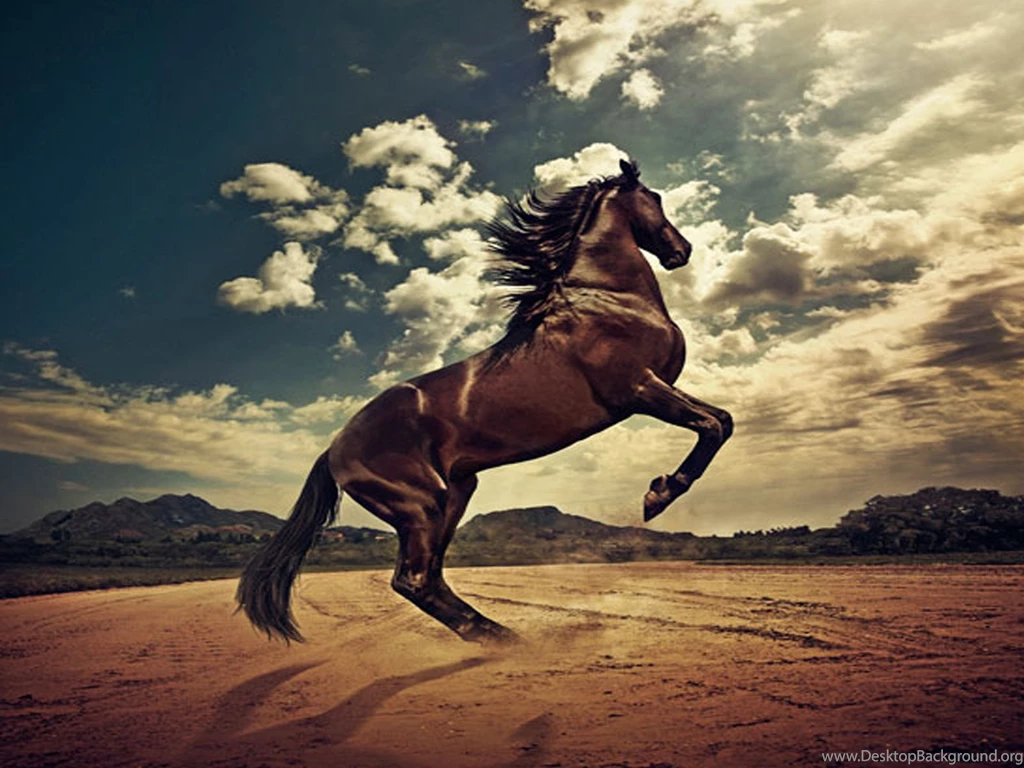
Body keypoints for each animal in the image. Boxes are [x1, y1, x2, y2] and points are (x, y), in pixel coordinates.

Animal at [236, 158, 733, 645]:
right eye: (655, 198)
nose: (682, 251)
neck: (608, 299)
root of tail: (333, 449)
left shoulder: (649, 389)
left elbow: (721, 421)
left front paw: (660, 489)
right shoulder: (638, 388)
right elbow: (714, 425)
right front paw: (658, 495)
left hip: (456, 493)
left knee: (429, 578)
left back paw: (503, 637)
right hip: (421, 505)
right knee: (413, 580)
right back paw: (504, 640)